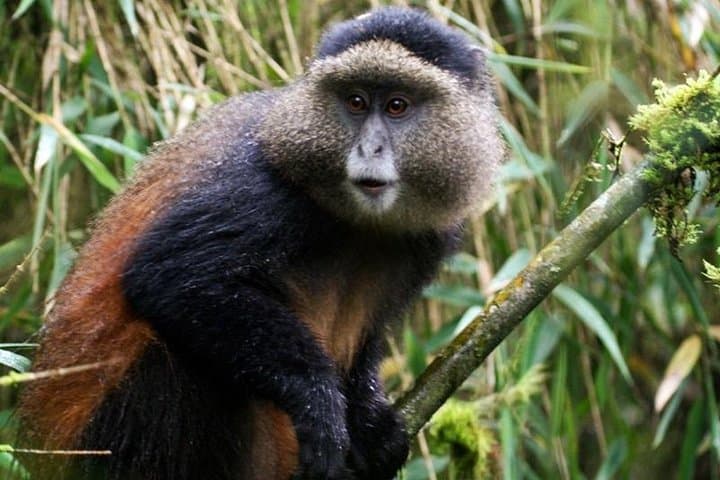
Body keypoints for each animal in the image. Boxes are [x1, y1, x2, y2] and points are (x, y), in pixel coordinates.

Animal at [17, 7, 503, 480]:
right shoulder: (264, 189)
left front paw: (370, 423)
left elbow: (371, 334)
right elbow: (171, 275)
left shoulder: (434, 233)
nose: (371, 149)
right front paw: (318, 400)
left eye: (398, 105)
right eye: (356, 102)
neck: (358, 221)